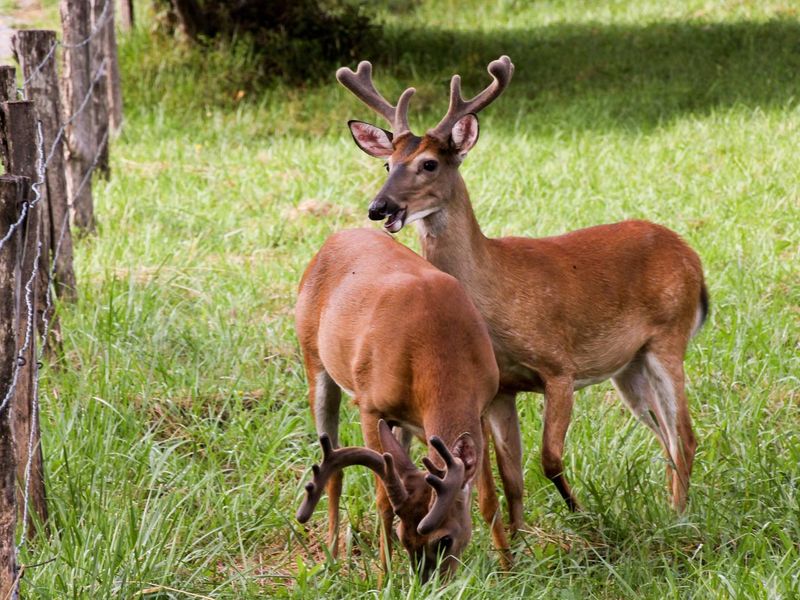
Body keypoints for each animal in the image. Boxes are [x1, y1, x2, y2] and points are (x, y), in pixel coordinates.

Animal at [294, 227, 515, 581]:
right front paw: (383, 577)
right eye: (403, 538)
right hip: (313, 360)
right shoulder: (370, 406)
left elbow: (488, 498)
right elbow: (383, 499)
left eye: (444, 539)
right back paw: (331, 557)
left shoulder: (482, 403)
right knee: (333, 470)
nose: (428, 585)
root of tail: (331, 240)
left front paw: (510, 568)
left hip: (404, 424)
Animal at [336, 56, 709, 520]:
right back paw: (670, 509)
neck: (496, 296)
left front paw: (582, 515)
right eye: (388, 165)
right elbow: (506, 477)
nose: (379, 207)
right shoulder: (500, 388)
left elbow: (548, 458)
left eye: (429, 164)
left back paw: (680, 517)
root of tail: (693, 259)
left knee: (686, 435)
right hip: (630, 365)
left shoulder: (560, 366)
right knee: (666, 435)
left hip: (668, 337)